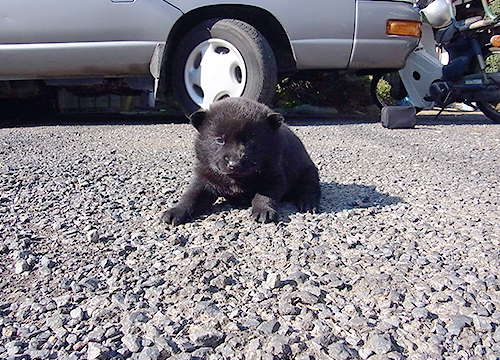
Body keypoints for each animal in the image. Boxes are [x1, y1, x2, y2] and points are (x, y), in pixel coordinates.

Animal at [162, 97, 322, 224]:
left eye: (251, 140)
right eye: (220, 140)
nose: (234, 163)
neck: (236, 178)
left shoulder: (274, 177)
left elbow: (264, 195)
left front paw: (263, 210)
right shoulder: (204, 177)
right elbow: (191, 196)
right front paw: (176, 211)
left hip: (309, 172)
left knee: (309, 188)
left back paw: (307, 204)